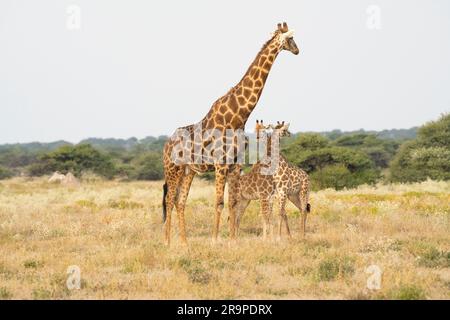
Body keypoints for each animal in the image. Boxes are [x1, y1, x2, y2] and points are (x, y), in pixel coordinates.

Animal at [161, 21, 298, 245]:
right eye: (290, 38)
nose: (297, 50)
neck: (239, 116)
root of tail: (165, 145)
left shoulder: (235, 165)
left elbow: (233, 202)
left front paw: (233, 241)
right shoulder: (220, 163)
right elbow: (219, 202)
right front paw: (215, 240)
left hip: (189, 171)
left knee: (180, 202)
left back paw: (184, 242)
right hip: (173, 168)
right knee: (170, 199)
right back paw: (167, 242)